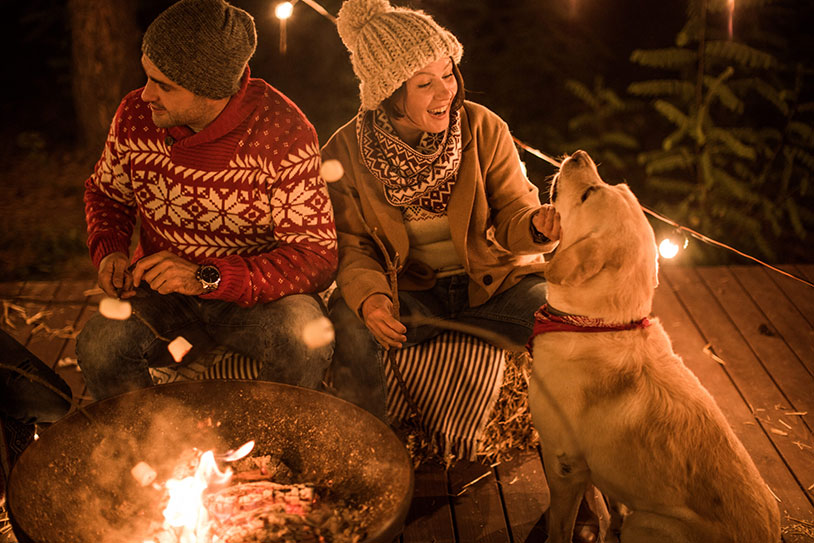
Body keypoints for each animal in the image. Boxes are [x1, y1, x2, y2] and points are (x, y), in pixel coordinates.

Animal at [528, 150, 784, 543]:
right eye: (615, 185)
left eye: (589, 193)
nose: (580, 154)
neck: (597, 324)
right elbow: (611, 501)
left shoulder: (564, 464)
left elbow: (561, 525)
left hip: (647, 523)